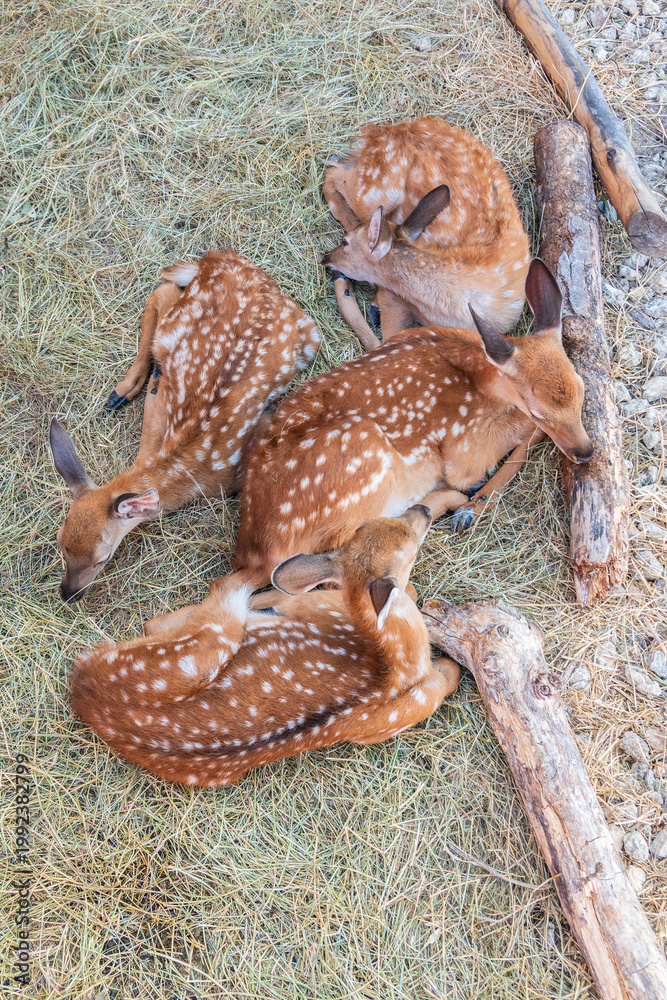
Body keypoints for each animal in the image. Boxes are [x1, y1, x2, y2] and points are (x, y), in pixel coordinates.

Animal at [50, 250, 320, 602]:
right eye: (60, 541)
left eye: (102, 558)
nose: (68, 593)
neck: (185, 465)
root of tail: (222, 258)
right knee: (162, 293)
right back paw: (124, 390)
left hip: (306, 336)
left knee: (163, 291)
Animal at [69, 506, 461, 787]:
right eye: (407, 545)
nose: (425, 508)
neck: (395, 661)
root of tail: (85, 688)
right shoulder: (315, 605)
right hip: (213, 639)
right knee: (220, 590)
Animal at [234, 259, 594, 587]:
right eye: (538, 410)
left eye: (582, 389)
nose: (586, 452)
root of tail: (252, 556)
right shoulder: (464, 449)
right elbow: (516, 440)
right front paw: (475, 498)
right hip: (364, 450)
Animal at [321, 117, 531, 351]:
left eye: (345, 242)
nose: (325, 259)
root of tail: (383, 132)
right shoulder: (393, 296)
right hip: (373, 192)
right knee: (333, 172)